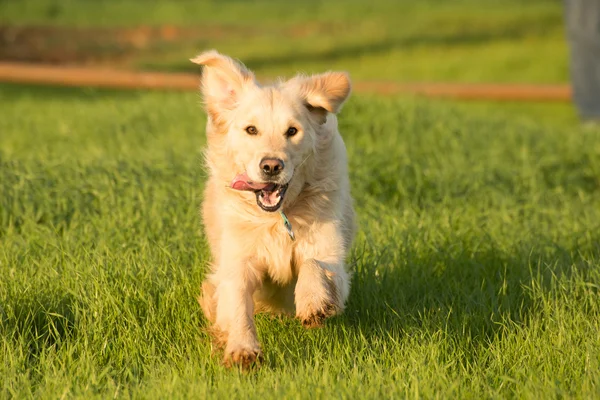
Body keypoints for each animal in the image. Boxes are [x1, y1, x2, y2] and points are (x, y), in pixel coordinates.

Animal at [190, 50, 354, 368]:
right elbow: (238, 303)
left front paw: (313, 302)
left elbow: (314, 264)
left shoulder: (332, 259)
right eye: (251, 130)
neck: (278, 218)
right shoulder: (238, 260)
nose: (271, 166)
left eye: (292, 131)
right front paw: (242, 348)